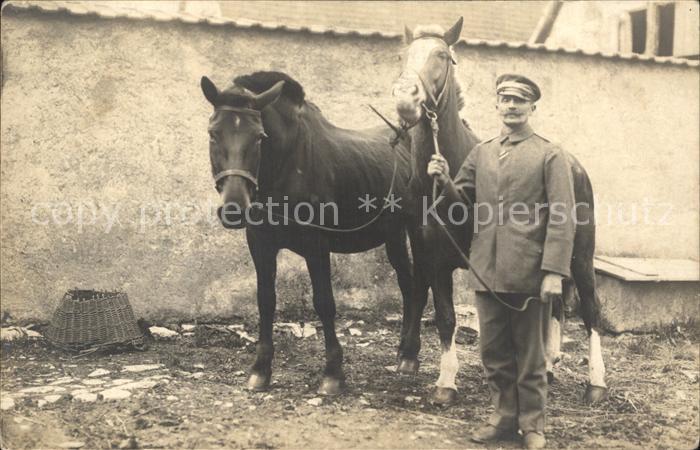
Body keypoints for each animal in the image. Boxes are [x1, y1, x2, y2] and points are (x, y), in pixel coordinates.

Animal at [200, 71, 414, 395]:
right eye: (213, 134)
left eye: (259, 136)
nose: (234, 208)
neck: (287, 167)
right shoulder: (260, 244)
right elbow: (265, 301)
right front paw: (260, 370)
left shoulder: (317, 246)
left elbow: (324, 302)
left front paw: (333, 374)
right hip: (394, 235)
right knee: (409, 283)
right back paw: (404, 353)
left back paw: (410, 356)